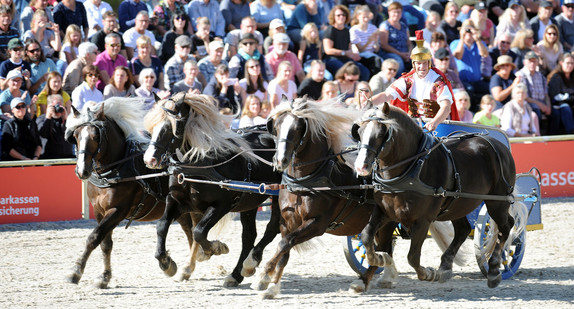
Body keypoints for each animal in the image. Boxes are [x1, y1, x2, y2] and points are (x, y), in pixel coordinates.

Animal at [66, 98, 194, 286]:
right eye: (76, 136)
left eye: (96, 136)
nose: (82, 170)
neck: (114, 171)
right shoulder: (99, 211)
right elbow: (105, 243)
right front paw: (104, 276)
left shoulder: (118, 210)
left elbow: (94, 237)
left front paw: (75, 271)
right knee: (190, 231)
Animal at [144, 92, 284, 286]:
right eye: (152, 128)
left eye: (169, 127)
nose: (149, 159)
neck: (199, 164)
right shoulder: (177, 200)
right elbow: (161, 225)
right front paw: (166, 262)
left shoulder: (222, 205)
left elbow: (199, 231)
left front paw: (214, 249)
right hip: (249, 203)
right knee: (249, 236)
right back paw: (236, 274)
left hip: (279, 197)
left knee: (272, 228)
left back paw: (251, 263)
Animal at [352, 104, 528, 288]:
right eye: (360, 131)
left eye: (381, 133)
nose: (361, 167)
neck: (412, 168)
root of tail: (499, 145)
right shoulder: (385, 212)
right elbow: (368, 237)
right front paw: (372, 268)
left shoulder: (423, 219)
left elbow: (412, 256)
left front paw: (428, 273)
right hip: (458, 204)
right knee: (463, 229)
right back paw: (445, 265)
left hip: (497, 202)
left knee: (506, 227)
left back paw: (493, 269)